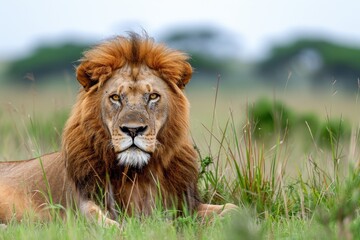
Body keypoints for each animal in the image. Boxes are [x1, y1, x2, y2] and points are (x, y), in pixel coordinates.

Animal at [0, 32, 236, 226]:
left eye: (153, 96)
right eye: (115, 97)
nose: (133, 130)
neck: (137, 173)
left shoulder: (185, 204)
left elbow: (232, 209)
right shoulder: (78, 202)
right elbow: (94, 217)